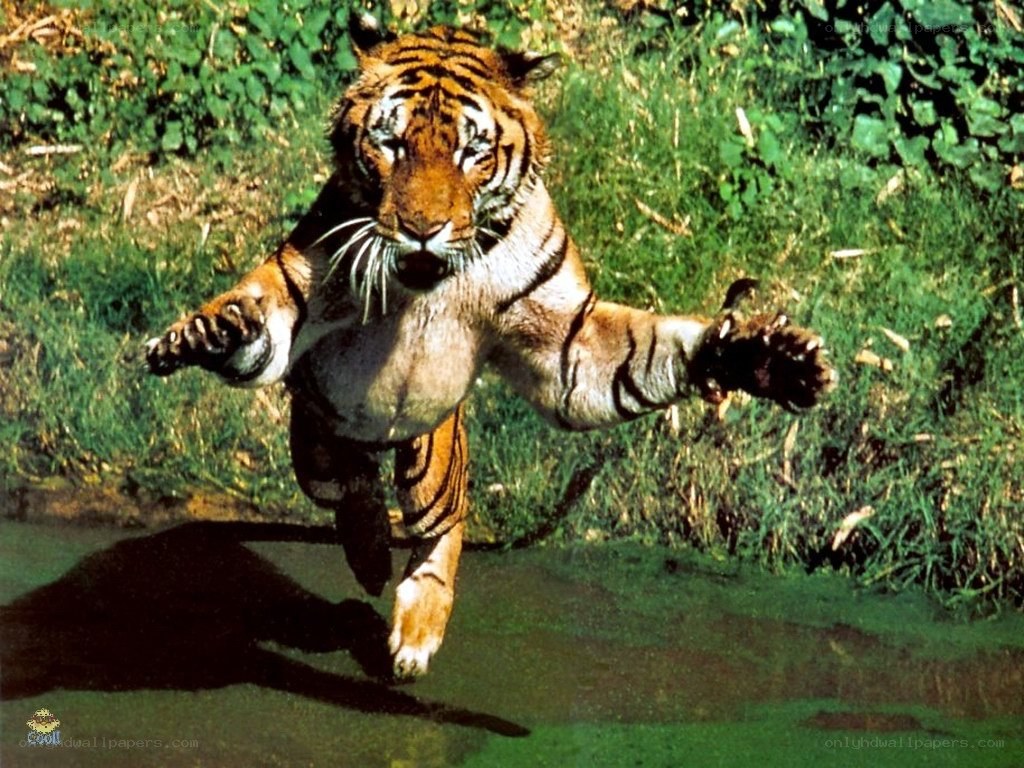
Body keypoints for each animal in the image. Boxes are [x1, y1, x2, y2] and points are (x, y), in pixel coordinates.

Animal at [144, 17, 835, 680]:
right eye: (390, 143)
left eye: (470, 150)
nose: (422, 229)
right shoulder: (300, 284)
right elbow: (263, 323)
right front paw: (211, 333)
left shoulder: (569, 346)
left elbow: (638, 358)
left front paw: (769, 359)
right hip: (316, 441)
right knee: (349, 487)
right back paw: (369, 554)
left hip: (432, 454)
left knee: (439, 527)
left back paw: (415, 630)